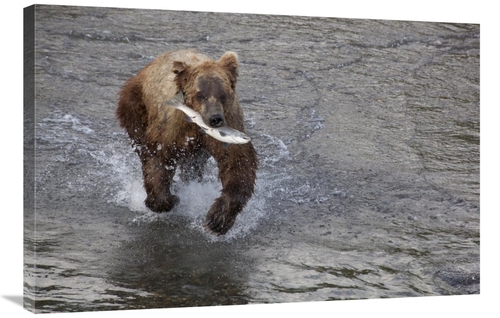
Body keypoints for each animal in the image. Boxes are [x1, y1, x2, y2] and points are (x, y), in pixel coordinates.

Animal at [116, 48, 256, 235]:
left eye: (223, 95)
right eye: (200, 95)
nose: (215, 119)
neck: (196, 125)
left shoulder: (230, 121)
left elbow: (237, 163)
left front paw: (218, 219)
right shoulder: (170, 127)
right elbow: (158, 157)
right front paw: (169, 199)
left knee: (193, 164)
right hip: (135, 103)